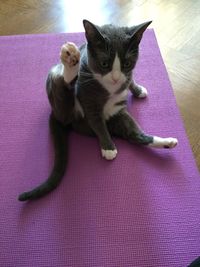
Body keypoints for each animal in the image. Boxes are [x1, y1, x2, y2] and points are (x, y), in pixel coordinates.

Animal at [18, 19, 178, 202]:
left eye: (127, 64)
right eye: (104, 63)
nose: (116, 78)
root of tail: (56, 116)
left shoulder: (126, 77)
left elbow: (130, 79)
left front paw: (137, 89)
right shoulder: (89, 101)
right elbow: (98, 123)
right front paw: (108, 148)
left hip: (118, 116)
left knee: (135, 136)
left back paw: (167, 142)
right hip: (60, 96)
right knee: (64, 92)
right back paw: (70, 62)